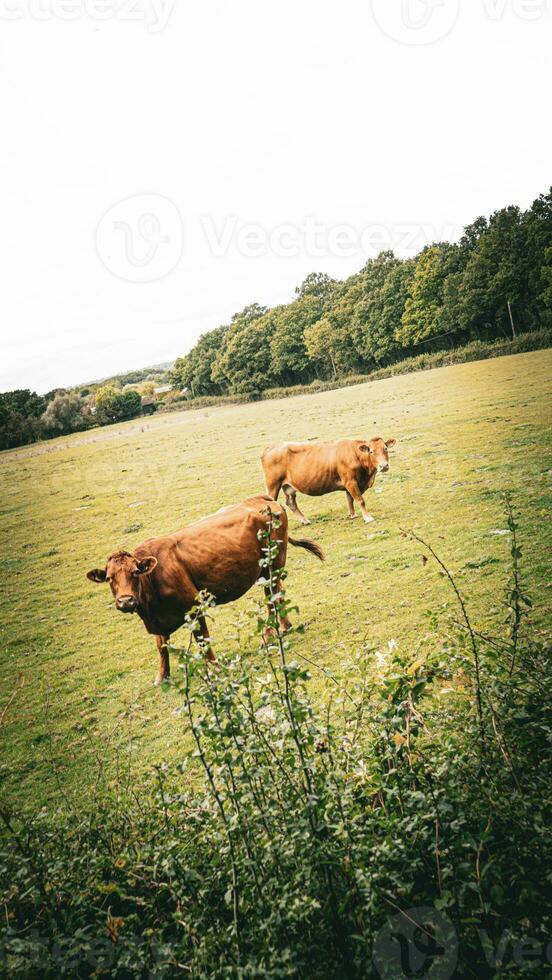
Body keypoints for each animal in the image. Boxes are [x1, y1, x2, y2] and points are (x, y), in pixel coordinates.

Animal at [86, 494, 324, 684]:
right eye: (109, 578)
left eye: (136, 572)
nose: (125, 600)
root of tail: (260, 498)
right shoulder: (158, 620)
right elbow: (161, 648)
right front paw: (162, 676)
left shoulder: (194, 605)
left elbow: (203, 639)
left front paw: (214, 667)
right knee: (275, 595)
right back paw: (283, 627)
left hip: (272, 566)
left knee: (272, 597)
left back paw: (272, 634)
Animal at [260, 438, 394, 528]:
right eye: (371, 451)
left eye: (385, 448)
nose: (384, 466)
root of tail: (271, 446)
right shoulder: (350, 481)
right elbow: (360, 500)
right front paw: (368, 517)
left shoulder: (349, 484)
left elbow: (350, 499)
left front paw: (353, 515)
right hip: (273, 484)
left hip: (288, 486)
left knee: (291, 502)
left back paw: (305, 520)